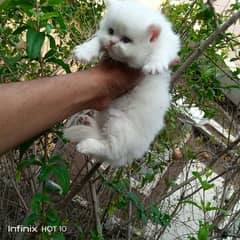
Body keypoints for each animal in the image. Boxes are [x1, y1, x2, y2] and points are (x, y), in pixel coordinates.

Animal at [63, 0, 180, 167]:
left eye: (126, 40)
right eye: (111, 31)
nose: (112, 42)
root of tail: (128, 157)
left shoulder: (169, 43)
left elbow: (162, 52)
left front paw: (154, 65)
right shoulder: (102, 38)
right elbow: (97, 40)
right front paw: (84, 51)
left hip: (119, 126)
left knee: (109, 148)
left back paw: (85, 145)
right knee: (102, 139)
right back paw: (88, 123)